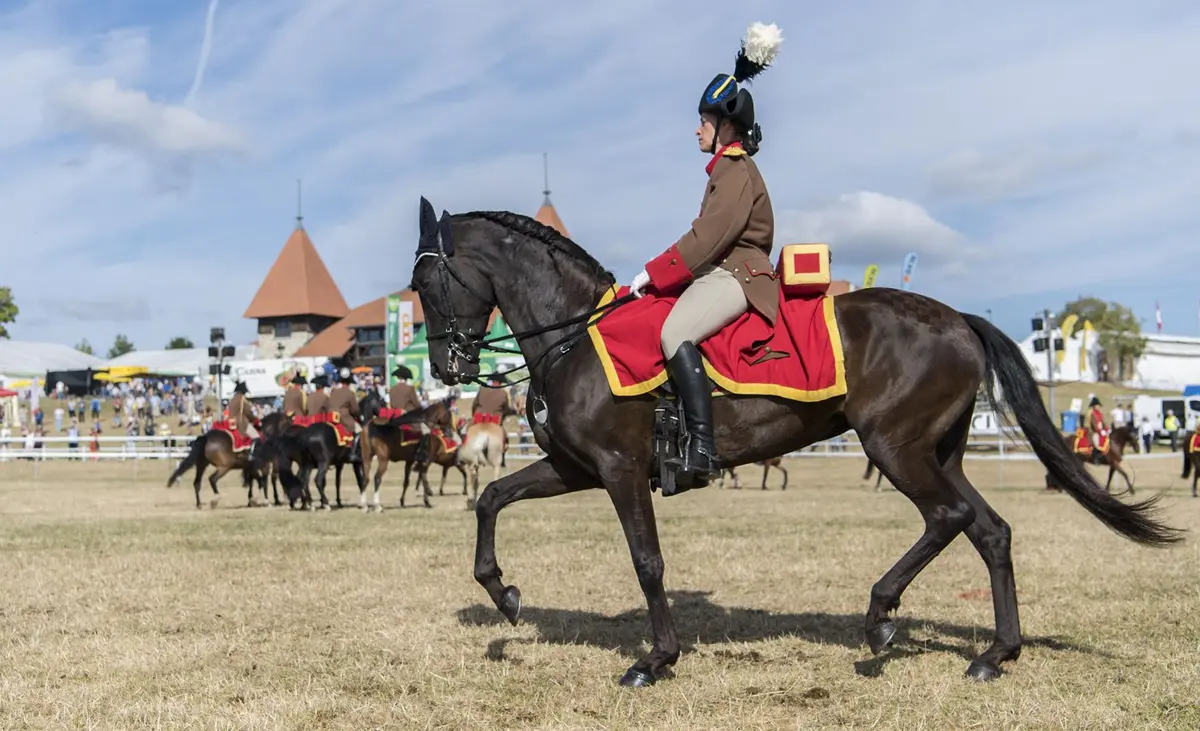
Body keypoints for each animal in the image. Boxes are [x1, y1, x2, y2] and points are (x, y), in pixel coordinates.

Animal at [408, 201, 1182, 687]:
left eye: (425, 281)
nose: (447, 367)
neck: (575, 335)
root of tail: (958, 318)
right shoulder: (576, 467)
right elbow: (491, 497)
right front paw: (504, 596)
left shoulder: (620, 469)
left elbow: (647, 562)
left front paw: (656, 660)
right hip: (939, 452)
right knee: (990, 530)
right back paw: (996, 652)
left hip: (895, 447)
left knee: (949, 518)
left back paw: (879, 619)